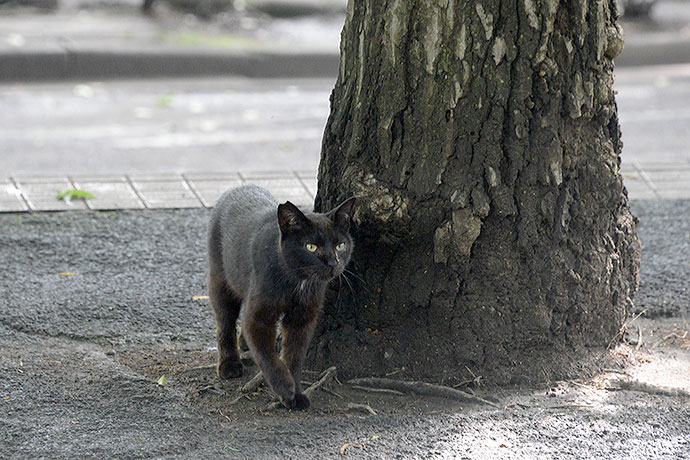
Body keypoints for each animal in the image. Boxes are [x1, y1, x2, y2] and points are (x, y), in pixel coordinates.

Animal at [207, 184, 352, 410]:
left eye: (341, 245)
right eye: (311, 246)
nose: (332, 262)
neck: (297, 282)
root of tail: (238, 187)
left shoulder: (303, 318)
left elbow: (294, 356)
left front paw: (296, 395)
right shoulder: (258, 317)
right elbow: (268, 357)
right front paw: (285, 388)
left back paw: (243, 343)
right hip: (221, 279)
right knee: (225, 322)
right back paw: (229, 364)